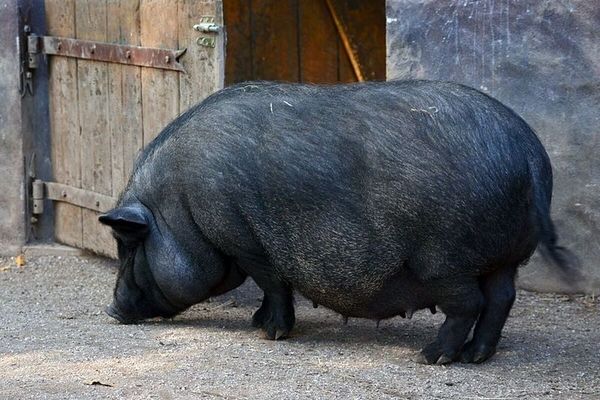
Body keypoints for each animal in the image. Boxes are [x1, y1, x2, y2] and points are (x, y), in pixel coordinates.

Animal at [98, 79, 576, 364]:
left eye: (129, 244)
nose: (111, 311)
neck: (179, 204)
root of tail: (530, 153)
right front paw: (256, 323)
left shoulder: (245, 239)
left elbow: (274, 283)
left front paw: (270, 333)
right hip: (505, 256)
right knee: (502, 298)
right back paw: (477, 356)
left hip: (445, 260)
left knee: (470, 304)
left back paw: (430, 356)